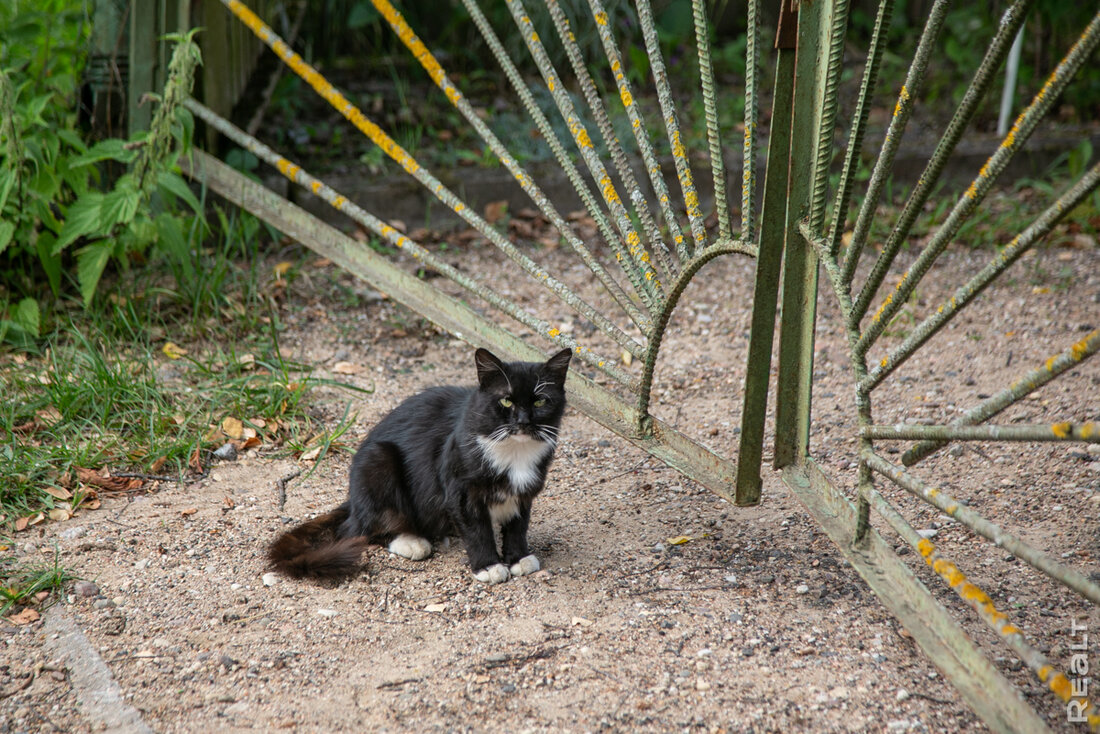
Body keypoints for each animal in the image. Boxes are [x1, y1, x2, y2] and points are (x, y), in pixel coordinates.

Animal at [269, 347, 572, 581]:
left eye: (541, 401)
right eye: (506, 400)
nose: (523, 421)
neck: (515, 452)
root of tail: (351, 501)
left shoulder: (524, 490)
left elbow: (518, 524)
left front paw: (519, 558)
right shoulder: (459, 487)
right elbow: (477, 529)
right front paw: (488, 566)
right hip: (377, 460)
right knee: (356, 529)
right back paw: (410, 540)